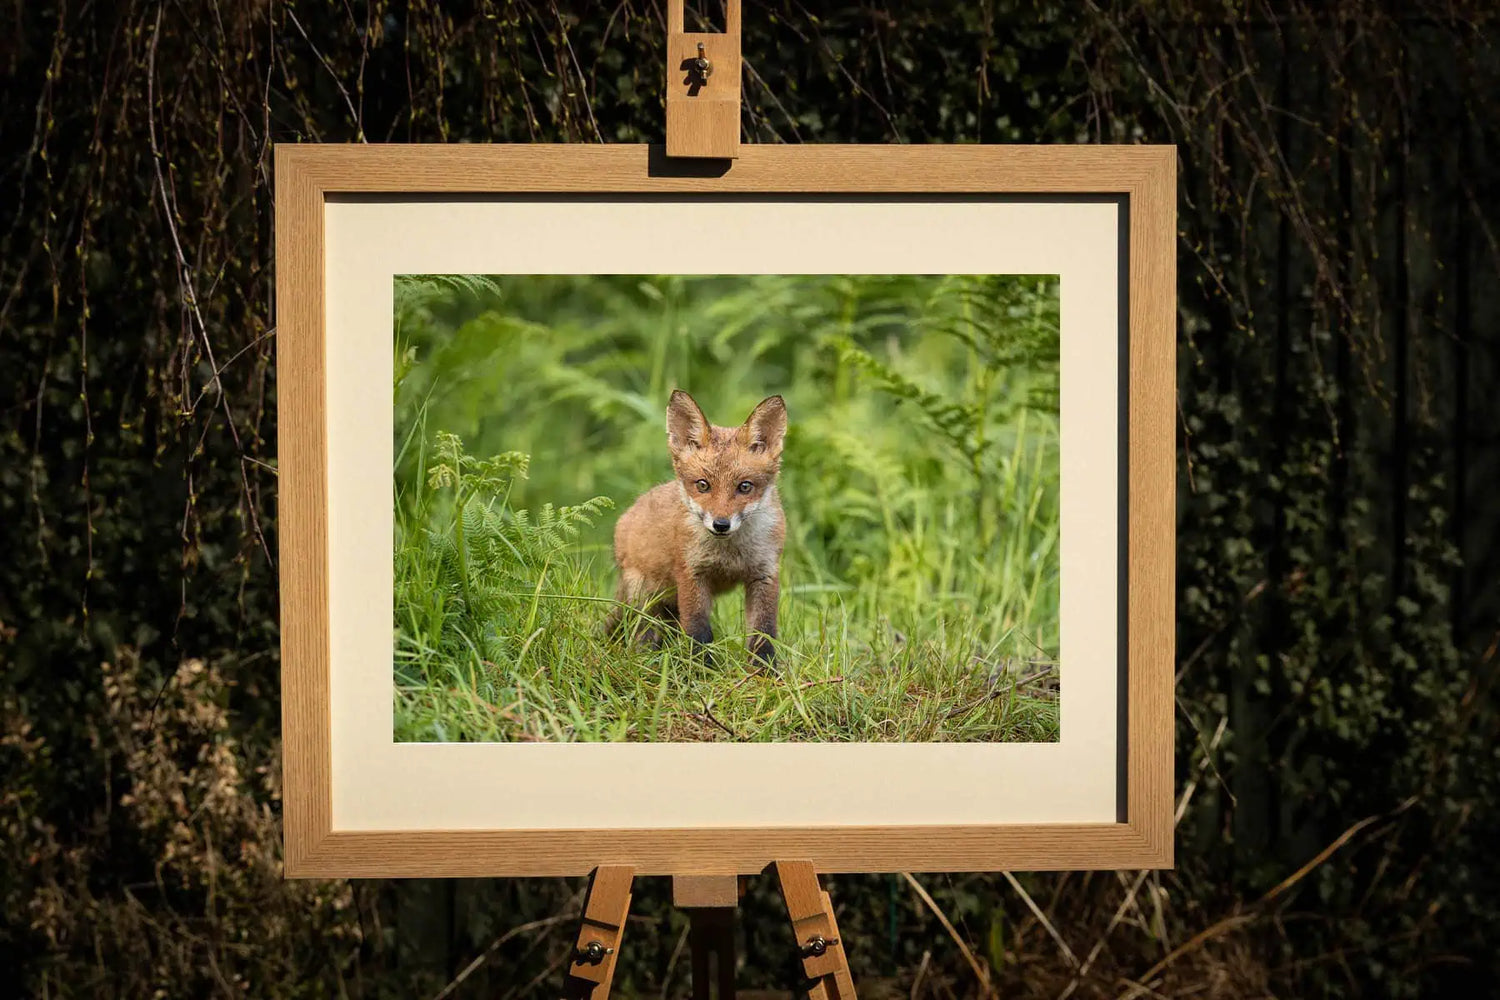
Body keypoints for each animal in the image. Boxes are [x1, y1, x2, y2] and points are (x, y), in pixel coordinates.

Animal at [604, 389, 788, 666]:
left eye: (745, 486)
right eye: (703, 485)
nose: (721, 524)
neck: (729, 555)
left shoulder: (764, 574)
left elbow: (763, 634)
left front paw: (764, 672)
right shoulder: (691, 574)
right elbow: (698, 632)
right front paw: (702, 670)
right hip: (645, 599)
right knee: (642, 634)